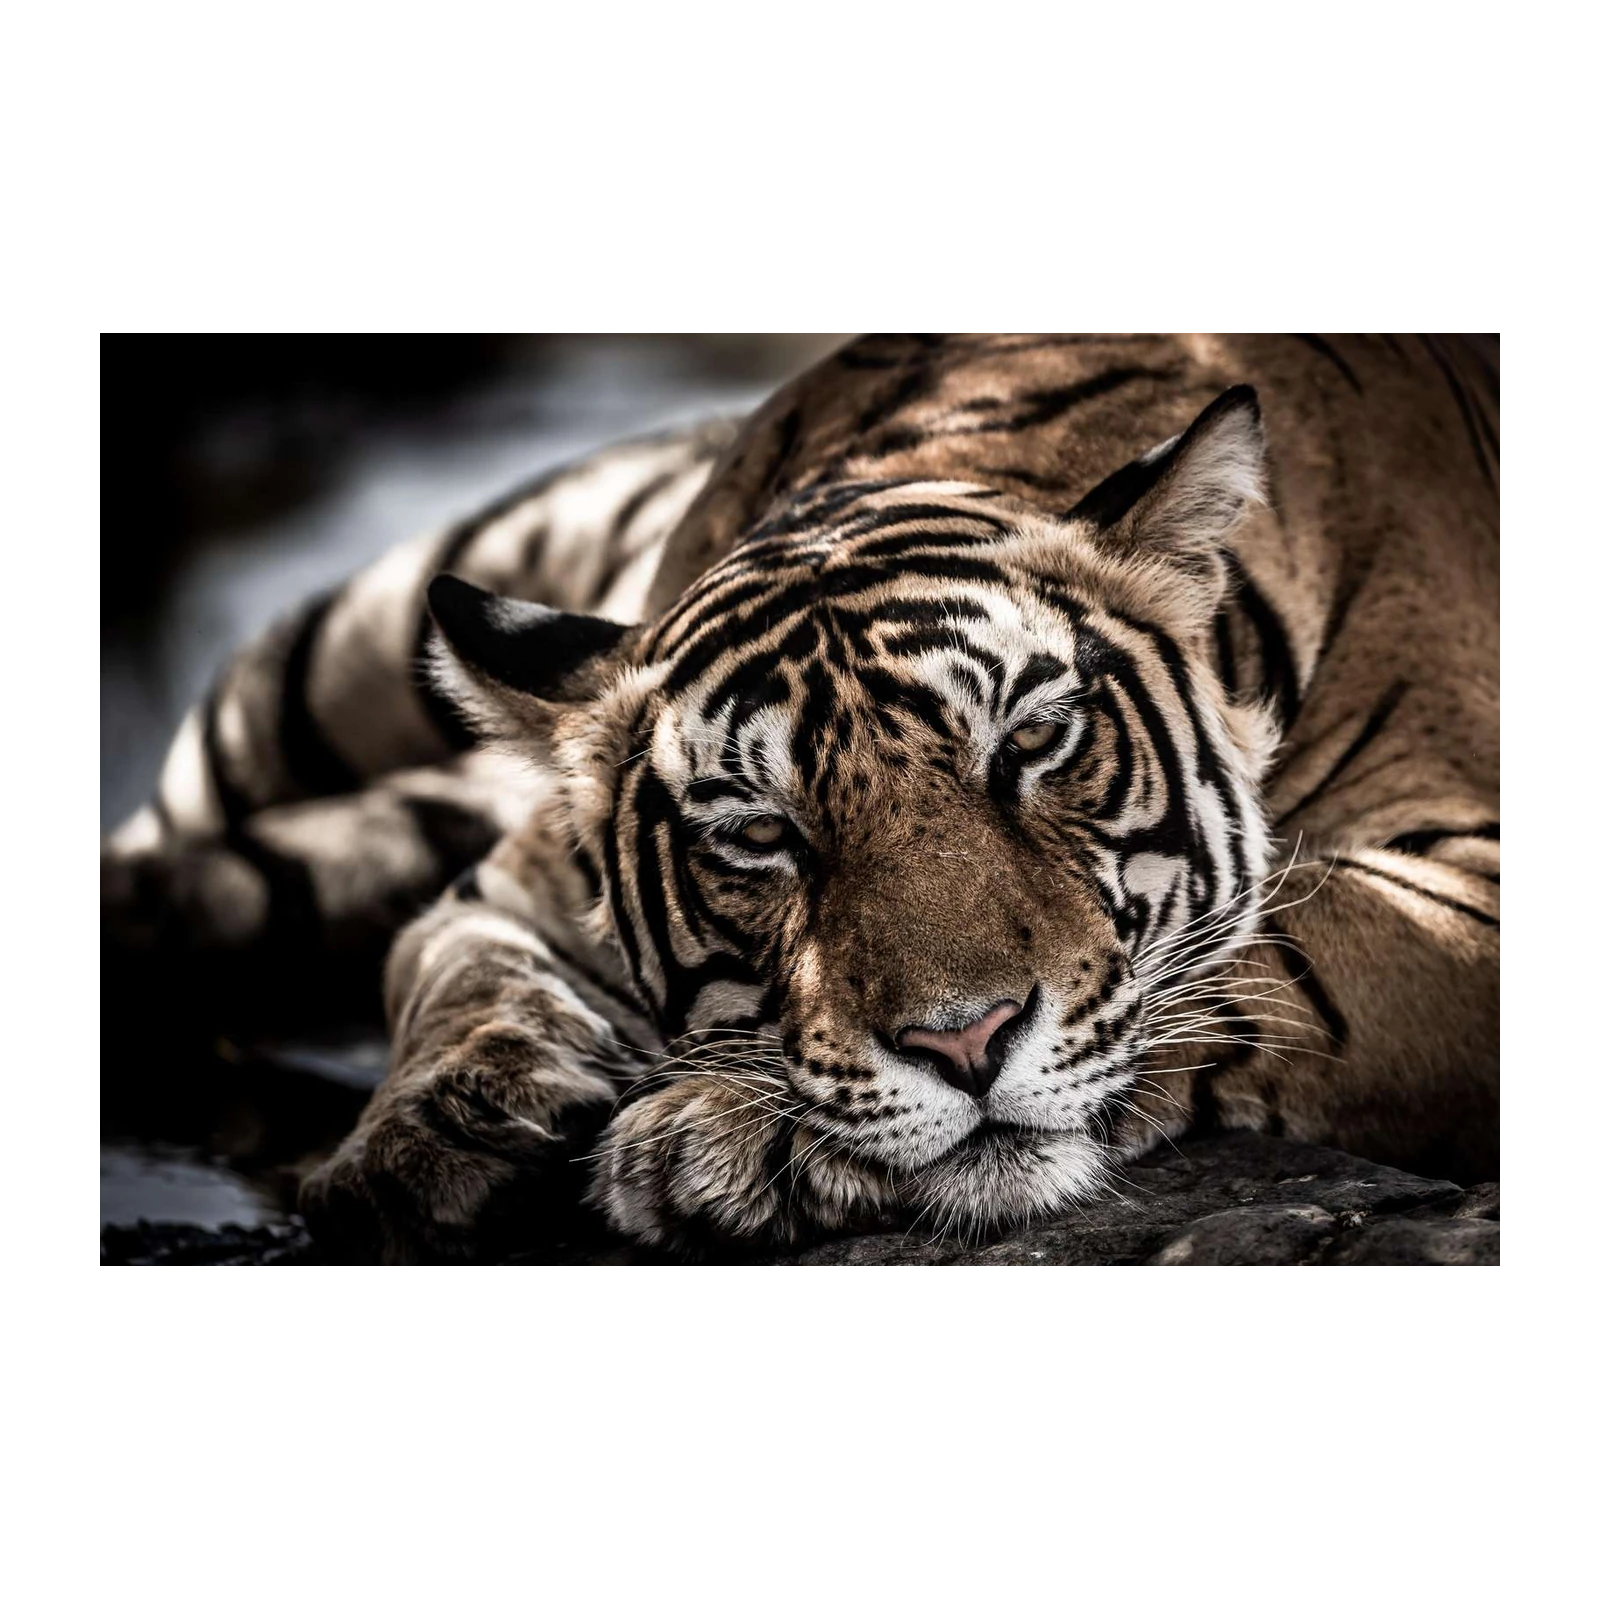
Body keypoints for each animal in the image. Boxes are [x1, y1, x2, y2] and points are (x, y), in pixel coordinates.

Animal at [97, 329, 1503, 1268]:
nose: (964, 1045)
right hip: (322, 665)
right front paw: (422, 1140)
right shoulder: (506, 883)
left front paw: (730, 1135)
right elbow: (448, 972)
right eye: (760, 834)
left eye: (1034, 741)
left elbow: (1281, 953)